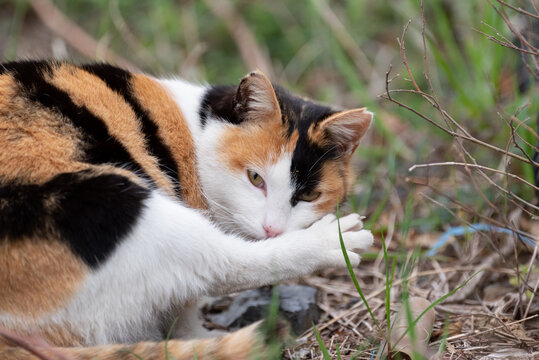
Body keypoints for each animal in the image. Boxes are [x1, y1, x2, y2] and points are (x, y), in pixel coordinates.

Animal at [0, 60, 374, 358]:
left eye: (309, 195)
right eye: (255, 178)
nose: (272, 229)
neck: (195, 134)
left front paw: (192, 337)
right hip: (108, 201)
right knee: (221, 264)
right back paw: (333, 240)